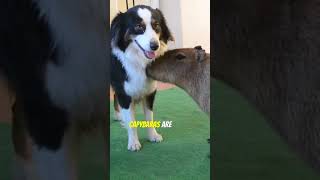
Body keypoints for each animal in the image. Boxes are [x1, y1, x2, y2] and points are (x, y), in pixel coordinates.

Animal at [111, 5, 174, 151]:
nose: (154, 46)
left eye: (156, 25)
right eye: (139, 26)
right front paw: (134, 142)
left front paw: (153, 136)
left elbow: (149, 117)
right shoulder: (124, 93)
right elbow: (131, 121)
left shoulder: (149, 92)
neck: (138, 60)